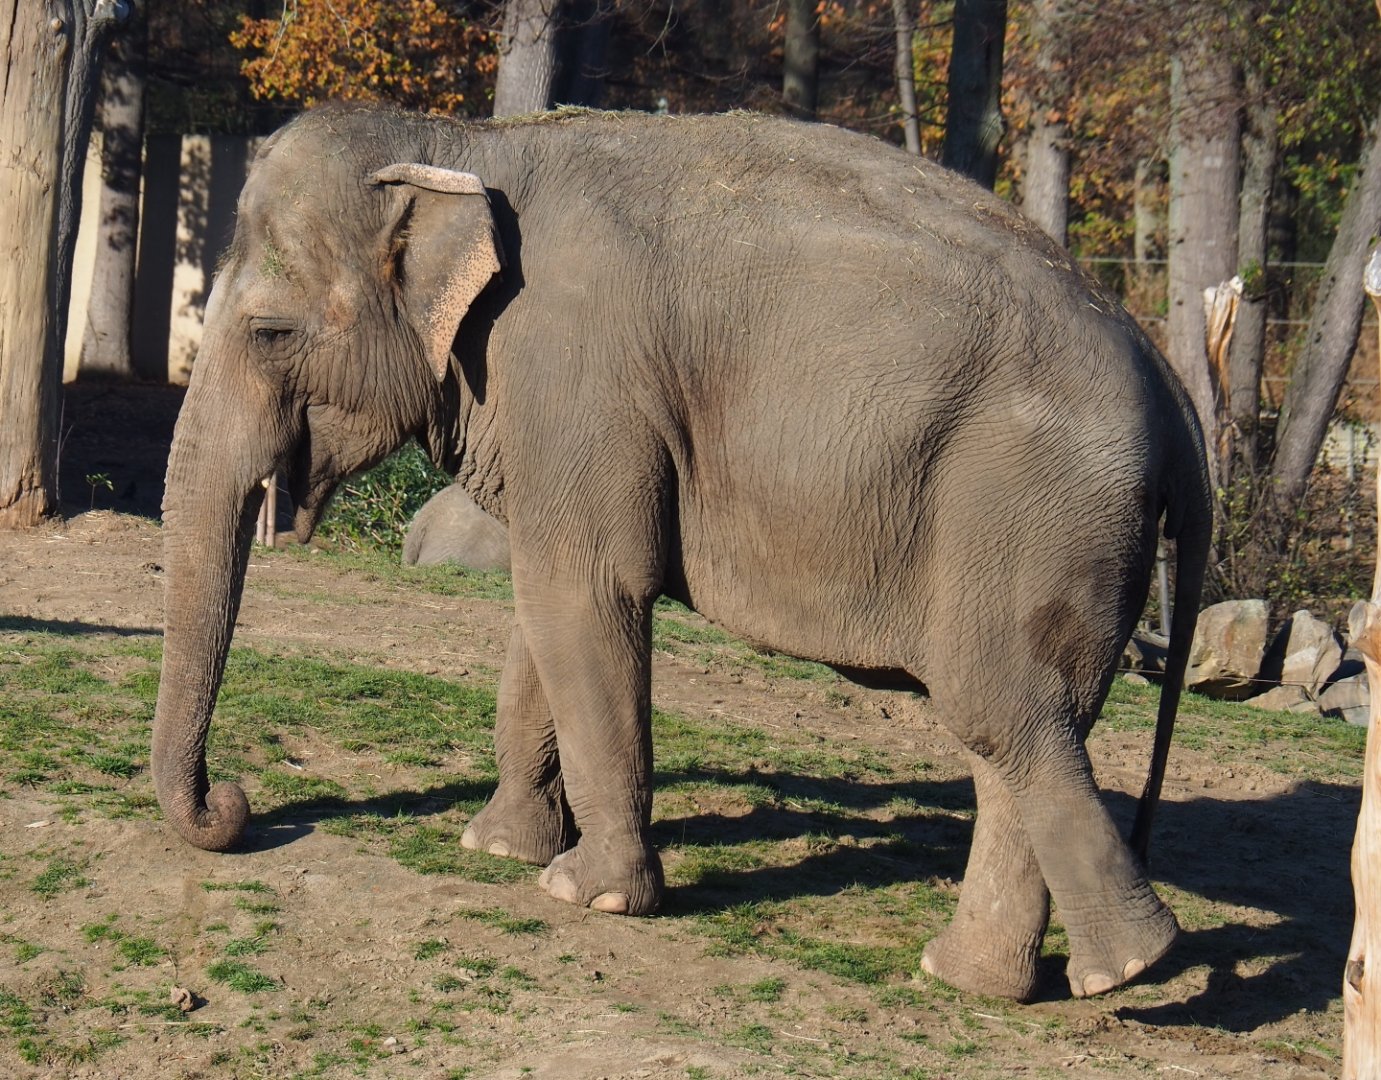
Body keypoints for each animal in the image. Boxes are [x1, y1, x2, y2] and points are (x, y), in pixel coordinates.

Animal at [152, 102, 1212, 1003]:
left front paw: (588, 895)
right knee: (1017, 736)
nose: (235, 807)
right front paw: (497, 849)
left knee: (1005, 716)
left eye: (269, 330)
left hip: (1028, 513)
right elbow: (546, 606)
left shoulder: (575, 374)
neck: (467, 141)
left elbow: (583, 594)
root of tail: (1174, 398)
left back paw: (1129, 971)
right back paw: (970, 980)